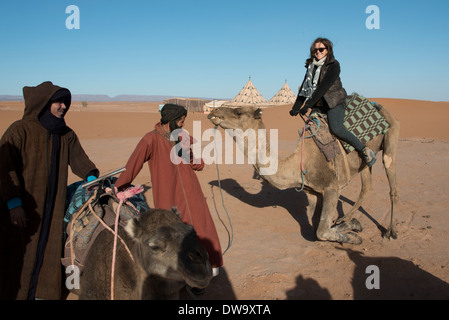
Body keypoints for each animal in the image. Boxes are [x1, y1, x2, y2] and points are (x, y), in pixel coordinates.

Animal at [208, 105, 400, 245]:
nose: (214, 111)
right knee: (367, 186)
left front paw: (354, 236)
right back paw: (346, 218)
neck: (297, 164)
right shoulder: (312, 192)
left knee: (392, 183)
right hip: (365, 161)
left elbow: (321, 231)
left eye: (238, 111)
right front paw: (352, 225)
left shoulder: (332, 188)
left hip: (391, 136)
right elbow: (316, 228)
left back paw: (391, 232)